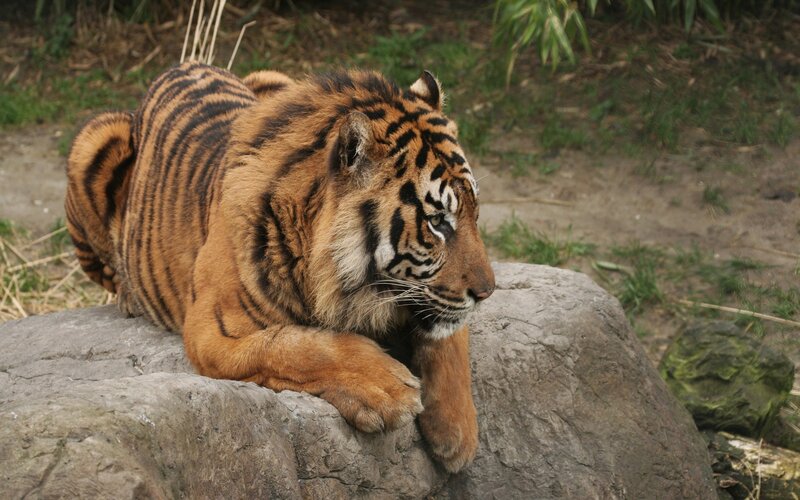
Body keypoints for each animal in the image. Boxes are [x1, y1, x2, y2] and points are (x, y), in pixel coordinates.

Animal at [65, 61, 495, 473]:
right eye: (437, 222)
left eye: (474, 212)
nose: (488, 292)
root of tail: (180, 66)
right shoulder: (212, 329)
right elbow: (295, 345)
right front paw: (387, 388)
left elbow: (450, 340)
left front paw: (458, 434)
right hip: (92, 139)